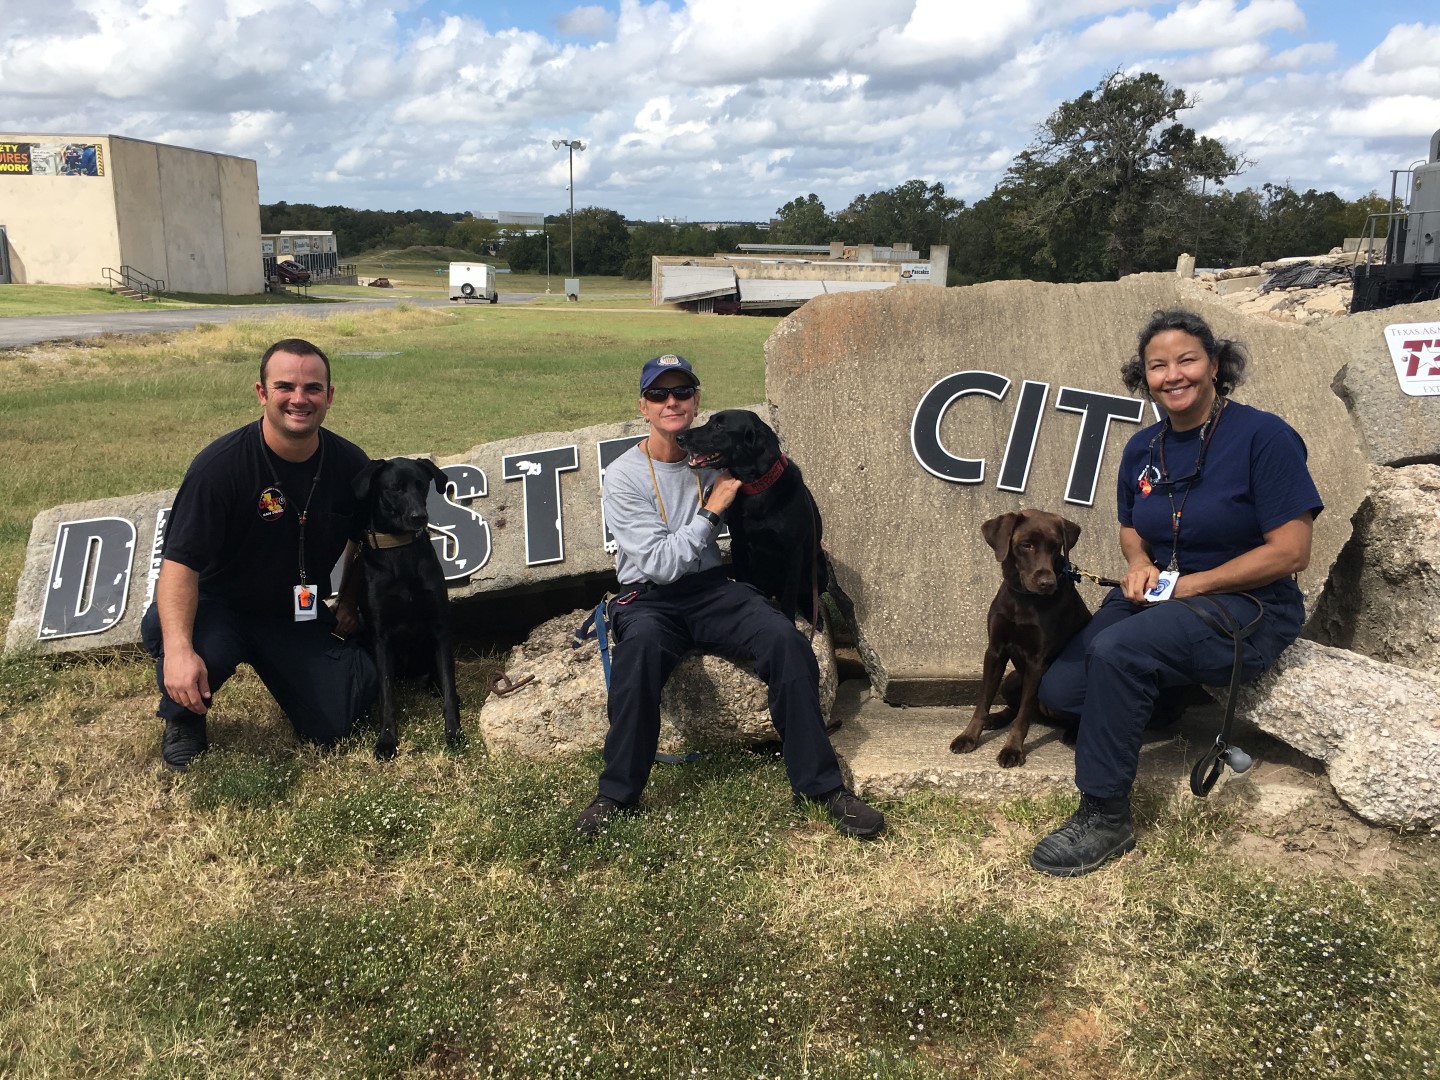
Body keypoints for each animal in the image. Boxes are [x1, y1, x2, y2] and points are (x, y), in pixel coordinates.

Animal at [348, 457, 460, 760]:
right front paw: (387, 739)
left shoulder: (440, 626)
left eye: (421, 485)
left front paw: (454, 731)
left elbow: (449, 684)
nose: (419, 517)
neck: (399, 551)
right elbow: (387, 694)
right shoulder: (380, 635)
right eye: (394, 488)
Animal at [676, 406, 829, 630]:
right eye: (710, 421)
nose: (679, 437)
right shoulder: (738, 544)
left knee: (808, 594)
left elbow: (790, 597)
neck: (756, 487)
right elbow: (744, 581)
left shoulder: (794, 552)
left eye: (719, 426)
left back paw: (813, 616)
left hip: (819, 567)